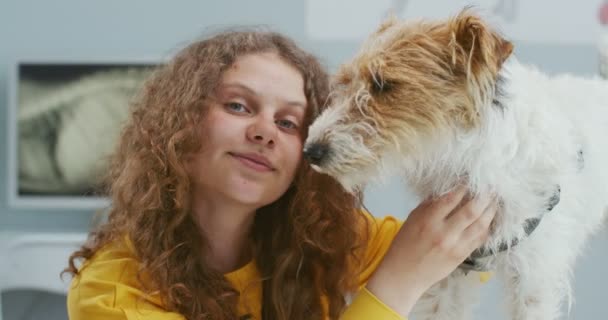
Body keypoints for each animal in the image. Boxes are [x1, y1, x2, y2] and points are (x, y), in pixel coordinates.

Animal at [304, 9, 608, 320]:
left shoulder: (534, 282)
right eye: (346, 81)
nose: (311, 150)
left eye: (382, 84)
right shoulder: (447, 274)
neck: (463, 156)